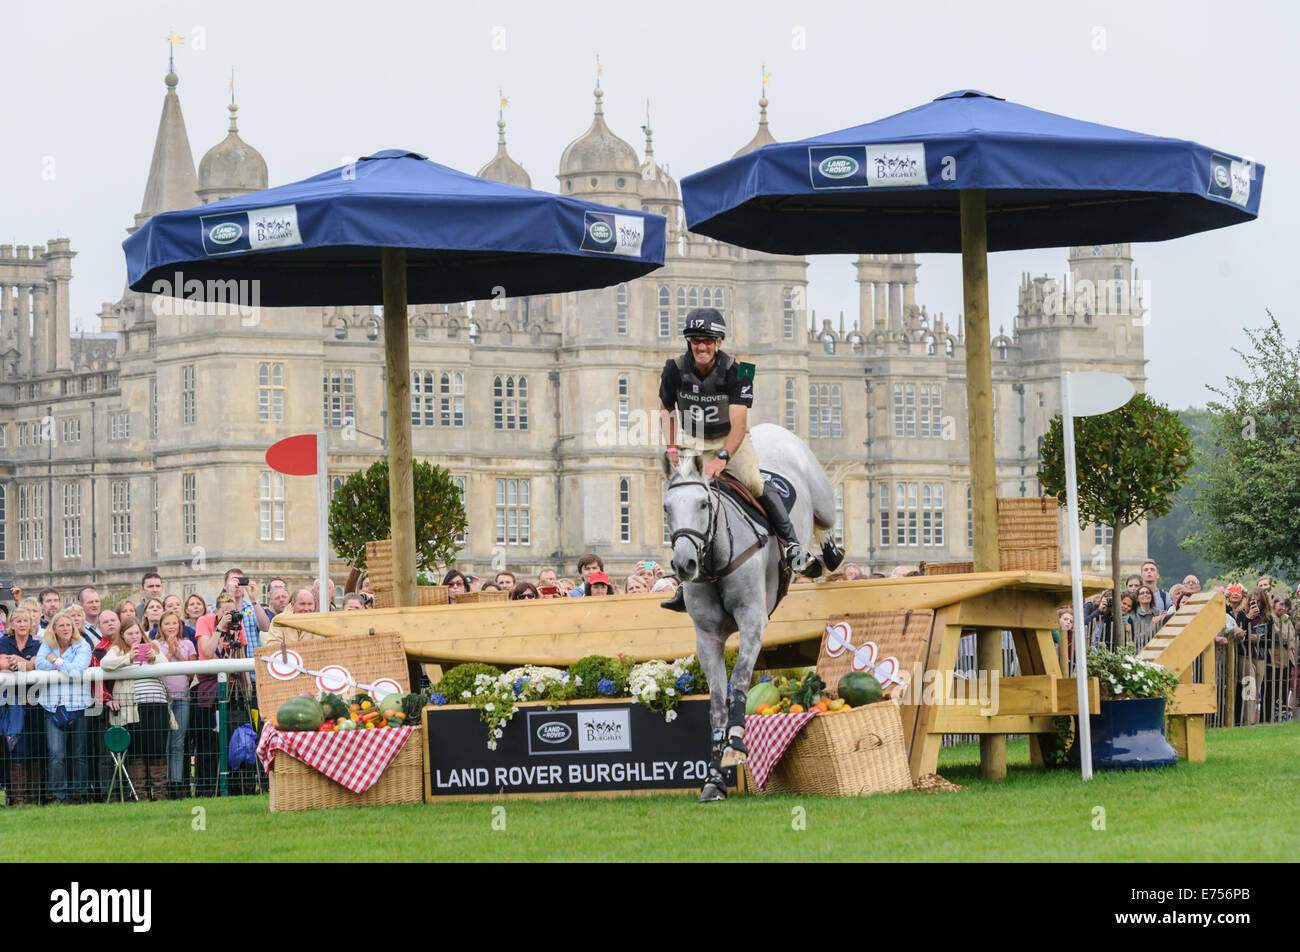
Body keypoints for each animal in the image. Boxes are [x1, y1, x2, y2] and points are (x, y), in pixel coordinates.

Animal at [665, 423, 837, 801]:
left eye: (703, 504)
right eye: (667, 508)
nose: (684, 565)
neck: (715, 560)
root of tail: (770, 428)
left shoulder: (752, 622)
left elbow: (742, 679)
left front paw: (735, 746)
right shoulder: (707, 638)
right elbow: (716, 701)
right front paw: (714, 779)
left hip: (821, 498)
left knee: (826, 522)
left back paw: (823, 556)